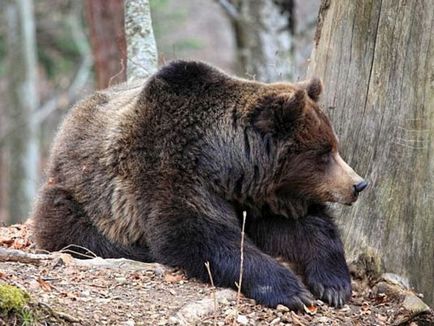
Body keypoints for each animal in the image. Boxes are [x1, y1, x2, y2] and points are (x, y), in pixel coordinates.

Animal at [32, 60, 366, 310]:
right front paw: (291, 290)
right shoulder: (171, 169)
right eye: (324, 153)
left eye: (333, 146)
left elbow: (303, 227)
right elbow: (198, 234)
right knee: (75, 231)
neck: (224, 163)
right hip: (79, 194)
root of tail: (67, 123)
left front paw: (333, 284)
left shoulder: (258, 195)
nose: (358, 184)